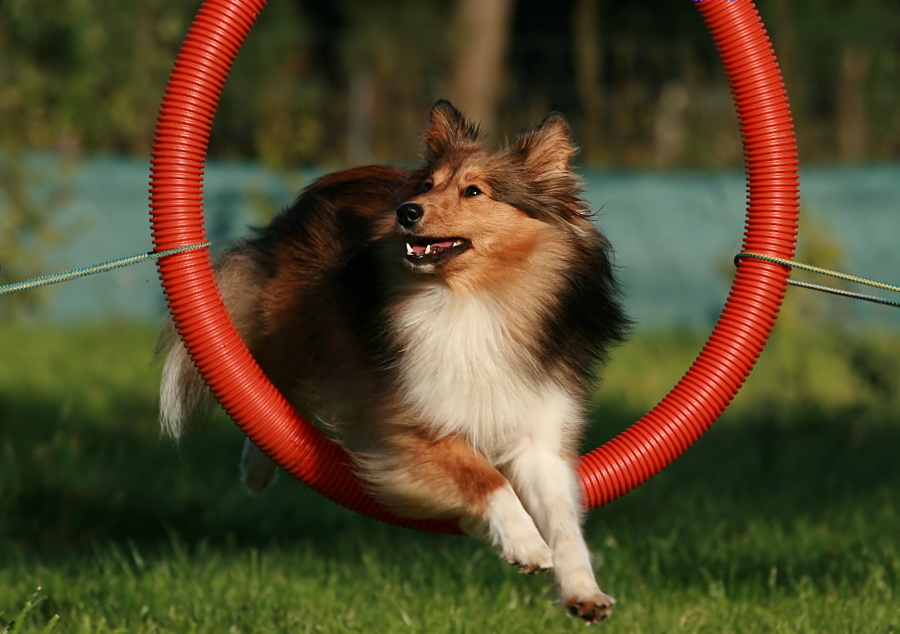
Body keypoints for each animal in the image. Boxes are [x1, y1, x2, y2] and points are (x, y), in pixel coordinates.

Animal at [160, 100, 624, 624]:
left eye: (474, 190)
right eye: (427, 185)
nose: (407, 211)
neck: (475, 298)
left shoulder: (537, 435)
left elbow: (564, 523)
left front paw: (584, 592)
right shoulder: (412, 423)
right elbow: (485, 477)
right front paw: (525, 542)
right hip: (294, 330)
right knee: (270, 381)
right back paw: (256, 469)